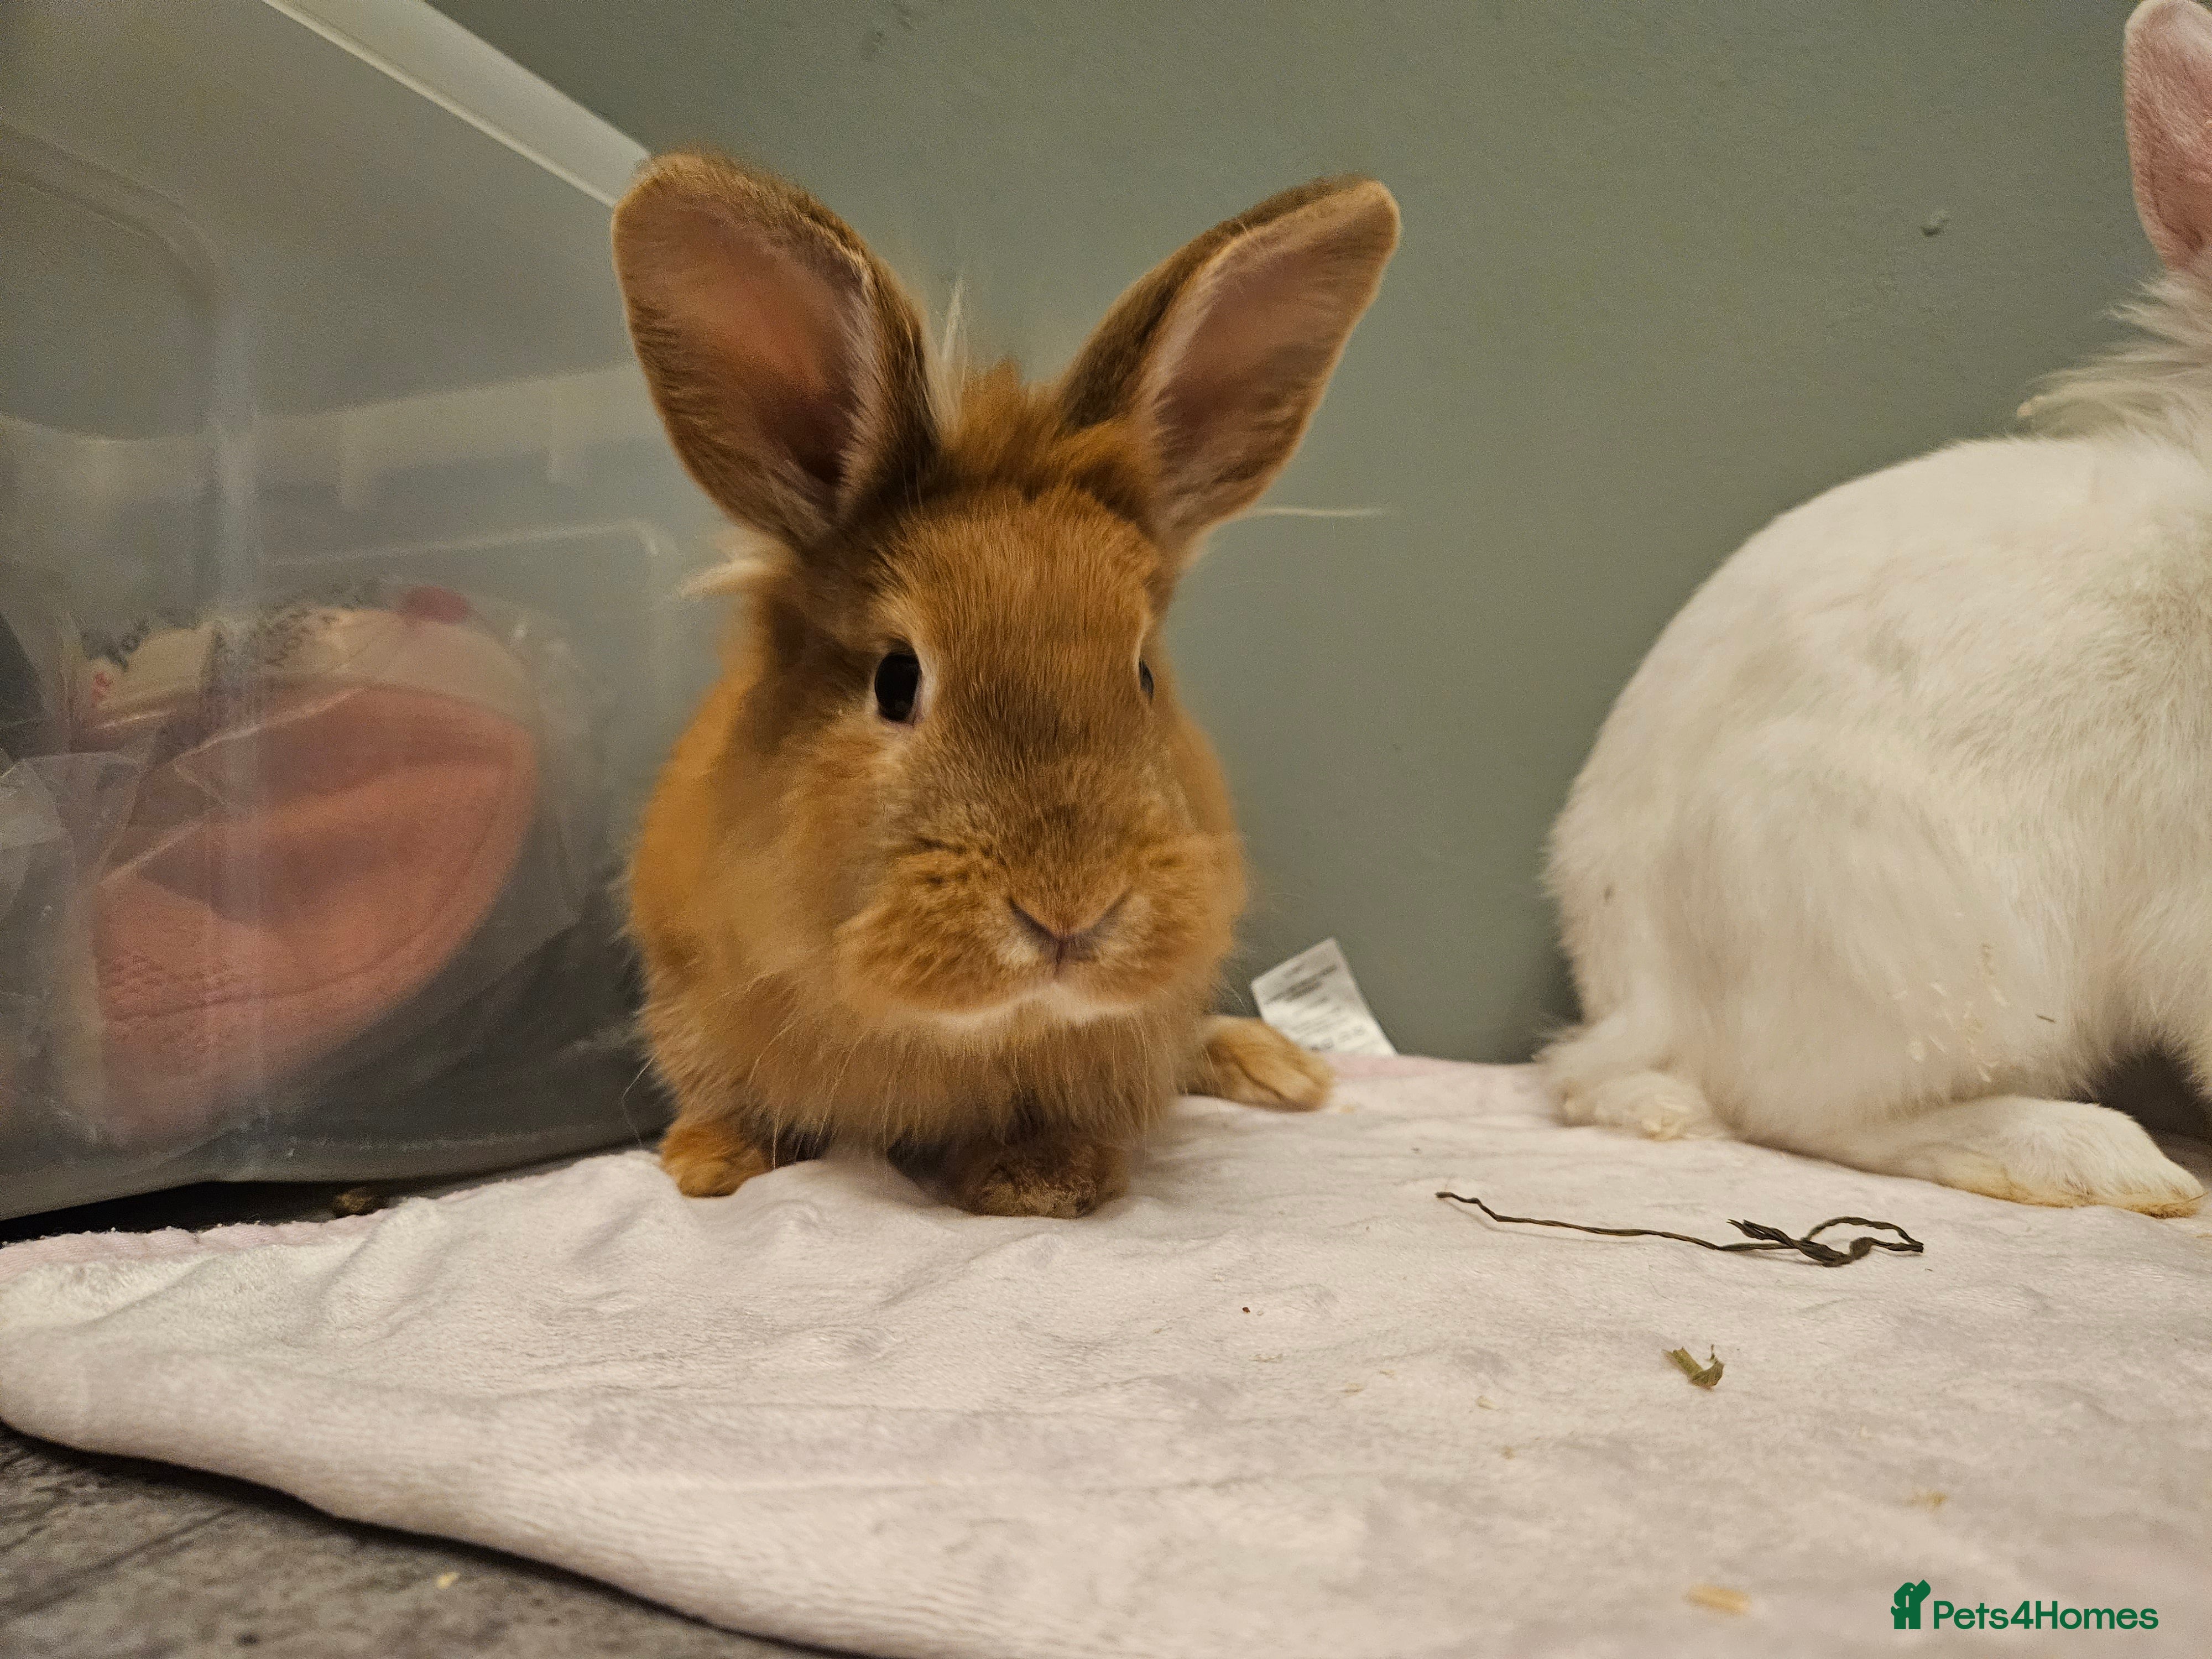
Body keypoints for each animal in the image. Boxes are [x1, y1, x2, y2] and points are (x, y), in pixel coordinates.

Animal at [611, 154, 1399, 1216]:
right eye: (896, 680)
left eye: (1143, 674)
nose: (1070, 912)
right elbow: (728, 1094)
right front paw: (711, 1164)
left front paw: (1044, 1181)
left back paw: (1285, 1070)